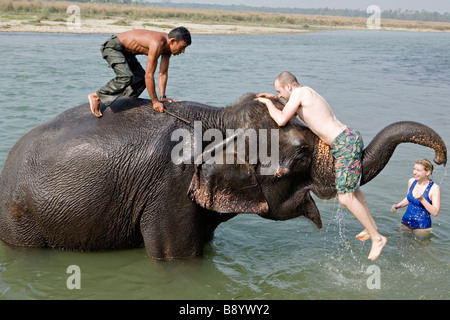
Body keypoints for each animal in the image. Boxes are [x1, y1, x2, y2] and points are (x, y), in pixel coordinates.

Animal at [0, 94, 444, 258]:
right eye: (302, 157)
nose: (439, 158)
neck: (219, 116)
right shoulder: (169, 187)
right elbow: (175, 257)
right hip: (22, 219)